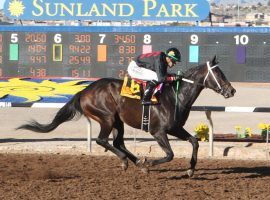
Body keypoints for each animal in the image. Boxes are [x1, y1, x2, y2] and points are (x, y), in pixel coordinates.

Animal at [17, 55, 235, 177]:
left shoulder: (175, 128)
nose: (231, 91)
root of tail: (84, 91)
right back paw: (130, 162)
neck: (176, 95)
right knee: (102, 140)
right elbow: (170, 154)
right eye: (219, 74)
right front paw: (149, 163)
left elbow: (195, 142)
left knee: (117, 142)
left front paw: (190, 169)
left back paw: (137, 162)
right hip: (106, 117)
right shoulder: (158, 131)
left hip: (118, 121)